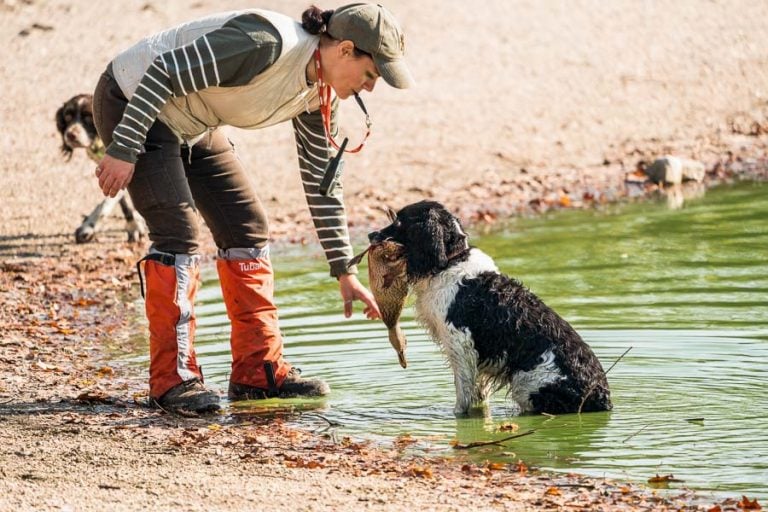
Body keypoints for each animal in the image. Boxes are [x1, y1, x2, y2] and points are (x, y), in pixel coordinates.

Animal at [54, 94, 146, 244]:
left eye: (88, 118)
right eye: (67, 117)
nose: (70, 135)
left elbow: (106, 203)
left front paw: (88, 226)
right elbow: (124, 204)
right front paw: (134, 225)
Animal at [368, 200, 616, 416]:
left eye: (399, 222)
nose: (370, 235)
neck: (450, 261)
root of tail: (603, 398)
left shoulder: (460, 344)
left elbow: (463, 397)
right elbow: (478, 395)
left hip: (528, 384)